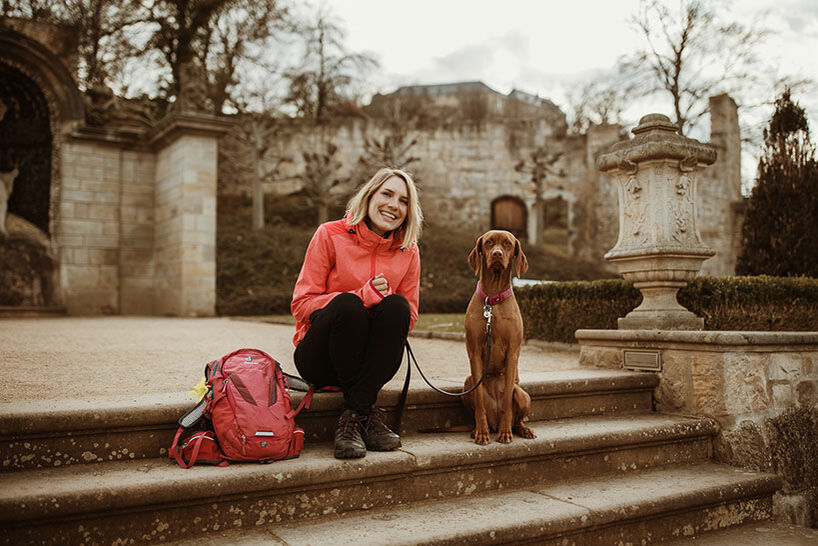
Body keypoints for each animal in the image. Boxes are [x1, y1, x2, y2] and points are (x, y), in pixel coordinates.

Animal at [460, 230, 536, 442]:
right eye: (489, 242)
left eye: (508, 243)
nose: (497, 254)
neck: (492, 299)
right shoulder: (474, 352)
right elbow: (479, 400)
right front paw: (481, 432)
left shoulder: (512, 353)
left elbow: (508, 400)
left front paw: (505, 432)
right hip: (467, 383)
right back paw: (478, 429)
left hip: (523, 394)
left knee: (517, 417)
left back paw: (521, 429)